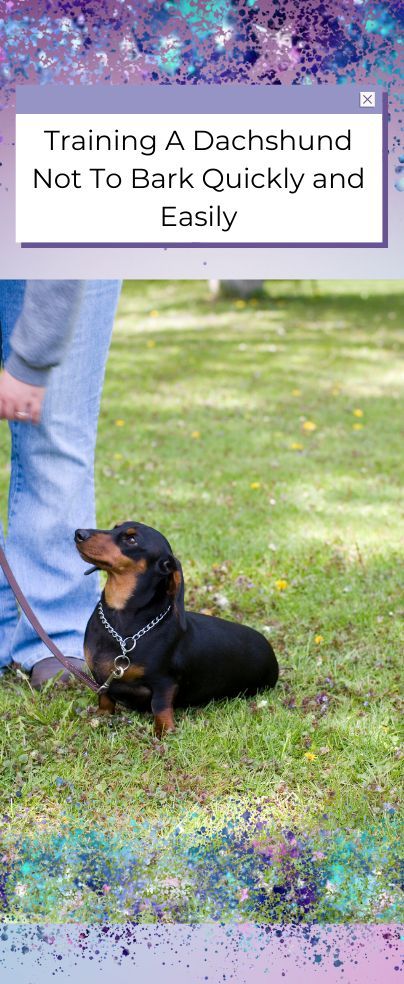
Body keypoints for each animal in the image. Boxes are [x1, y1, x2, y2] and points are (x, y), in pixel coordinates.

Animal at [75, 528, 278, 736]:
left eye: (131, 539)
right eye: (115, 527)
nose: (79, 533)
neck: (121, 619)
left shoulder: (164, 682)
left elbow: (160, 705)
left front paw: (163, 730)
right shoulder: (102, 680)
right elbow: (105, 698)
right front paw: (101, 716)